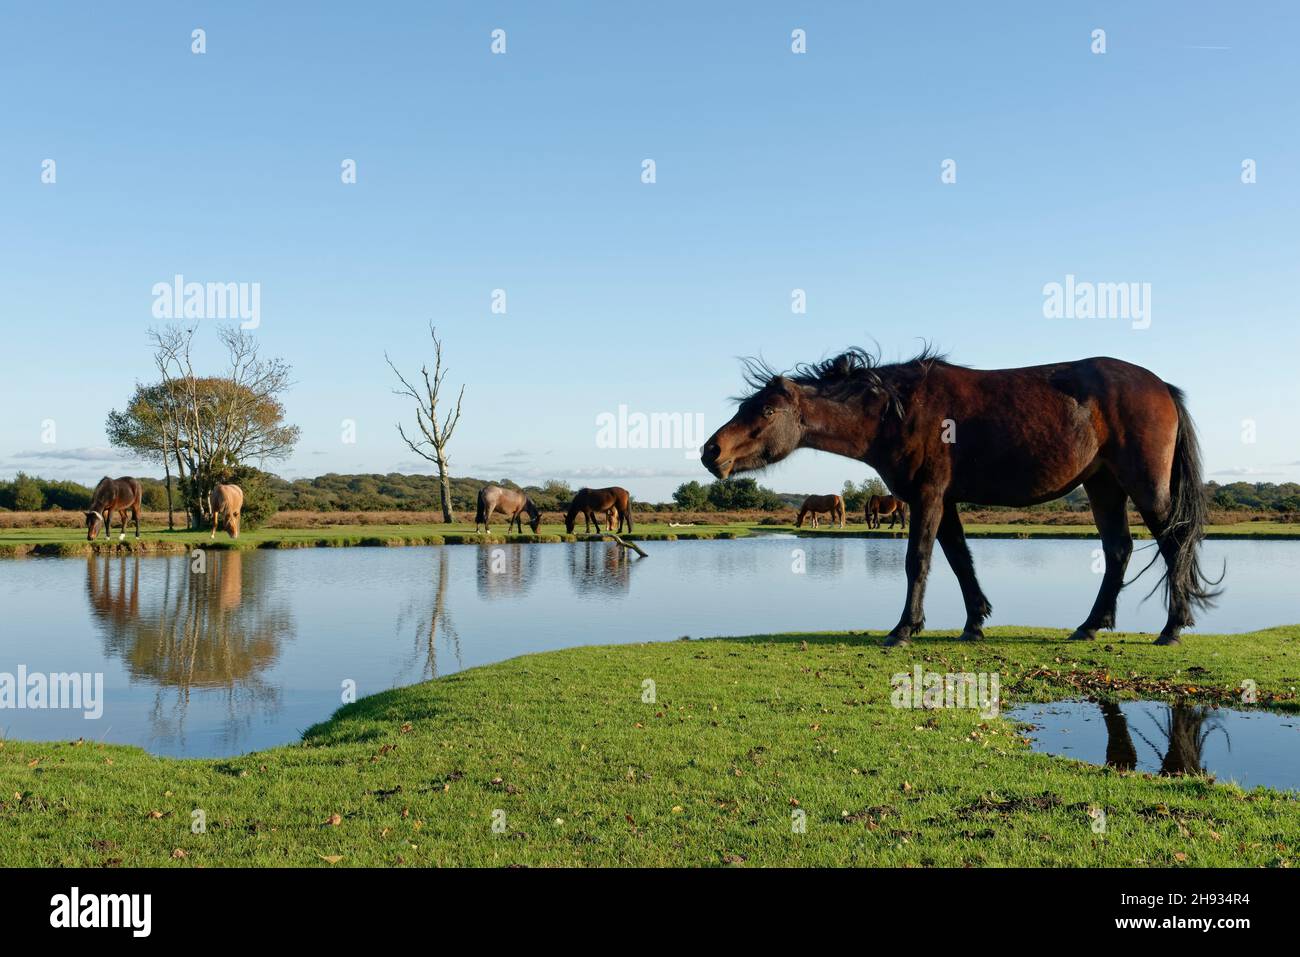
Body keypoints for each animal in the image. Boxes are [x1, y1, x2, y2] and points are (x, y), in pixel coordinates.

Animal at [702, 348, 1216, 647]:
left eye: (767, 411)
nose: (712, 451)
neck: (898, 411)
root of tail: (1161, 386)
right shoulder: (942, 501)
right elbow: (959, 559)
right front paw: (974, 623)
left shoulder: (927, 496)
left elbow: (919, 560)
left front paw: (904, 629)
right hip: (1103, 485)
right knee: (1118, 550)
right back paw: (1090, 625)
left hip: (1145, 487)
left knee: (1174, 544)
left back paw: (1172, 629)